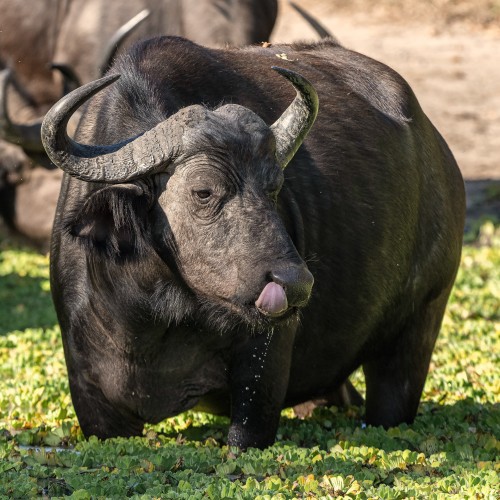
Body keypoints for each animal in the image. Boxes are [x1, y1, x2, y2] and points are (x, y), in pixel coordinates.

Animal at [42, 36, 464, 450]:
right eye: (203, 191)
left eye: (274, 187)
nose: (294, 284)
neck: (153, 315)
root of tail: (441, 156)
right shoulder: (92, 399)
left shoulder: (261, 379)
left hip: (419, 324)